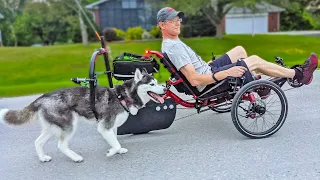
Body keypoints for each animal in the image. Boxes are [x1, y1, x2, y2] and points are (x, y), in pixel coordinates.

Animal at [0, 68, 165, 162]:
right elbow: (116, 143)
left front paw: (116, 150)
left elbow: (115, 140)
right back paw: (75, 158)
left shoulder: (111, 127)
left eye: (157, 82)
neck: (123, 96)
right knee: (61, 145)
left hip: (52, 128)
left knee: (38, 142)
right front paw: (112, 152)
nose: (164, 89)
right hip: (69, 125)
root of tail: (43, 97)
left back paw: (42, 158)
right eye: (152, 84)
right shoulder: (104, 127)